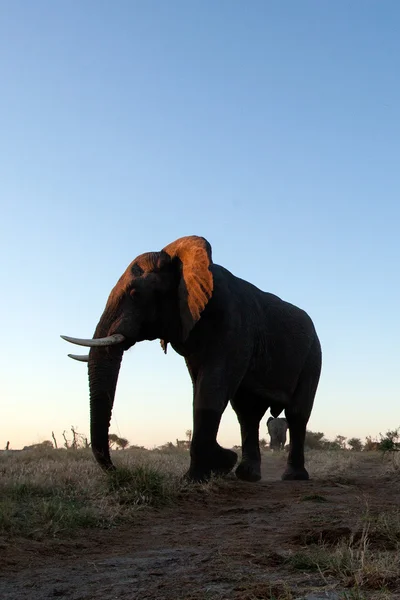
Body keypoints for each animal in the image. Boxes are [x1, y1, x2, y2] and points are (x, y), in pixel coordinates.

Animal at [63, 234, 324, 482]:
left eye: (135, 294)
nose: (117, 470)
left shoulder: (234, 324)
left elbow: (211, 388)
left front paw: (197, 477)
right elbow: (200, 385)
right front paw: (218, 466)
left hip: (313, 356)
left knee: (296, 414)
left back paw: (293, 477)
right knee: (247, 413)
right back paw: (247, 476)